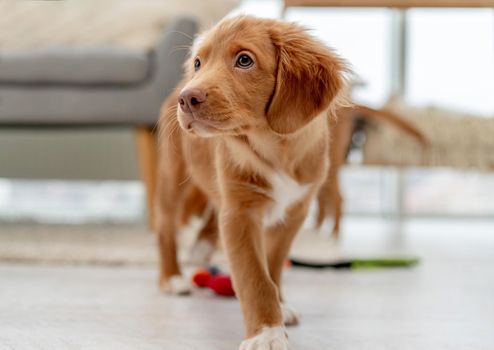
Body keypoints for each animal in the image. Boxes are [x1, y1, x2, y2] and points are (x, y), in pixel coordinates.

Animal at [155, 17, 348, 350]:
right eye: (199, 62)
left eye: (244, 60)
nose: (187, 99)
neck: (273, 145)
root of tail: (177, 85)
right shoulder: (240, 214)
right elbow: (255, 277)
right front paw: (266, 333)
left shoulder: (294, 213)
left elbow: (272, 266)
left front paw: (279, 307)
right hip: (173, 175)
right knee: (165, 227)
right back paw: (172, 278)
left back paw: (201, 246)